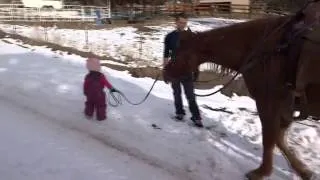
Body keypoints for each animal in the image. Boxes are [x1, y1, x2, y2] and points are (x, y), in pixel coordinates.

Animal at [165, 15, 320, 180]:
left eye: (180, 52)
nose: (165, 73)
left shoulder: (268, 102)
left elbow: (270, 137)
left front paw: (261, 172)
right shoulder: (284, 107)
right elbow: (278, 138)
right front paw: (304, 171)